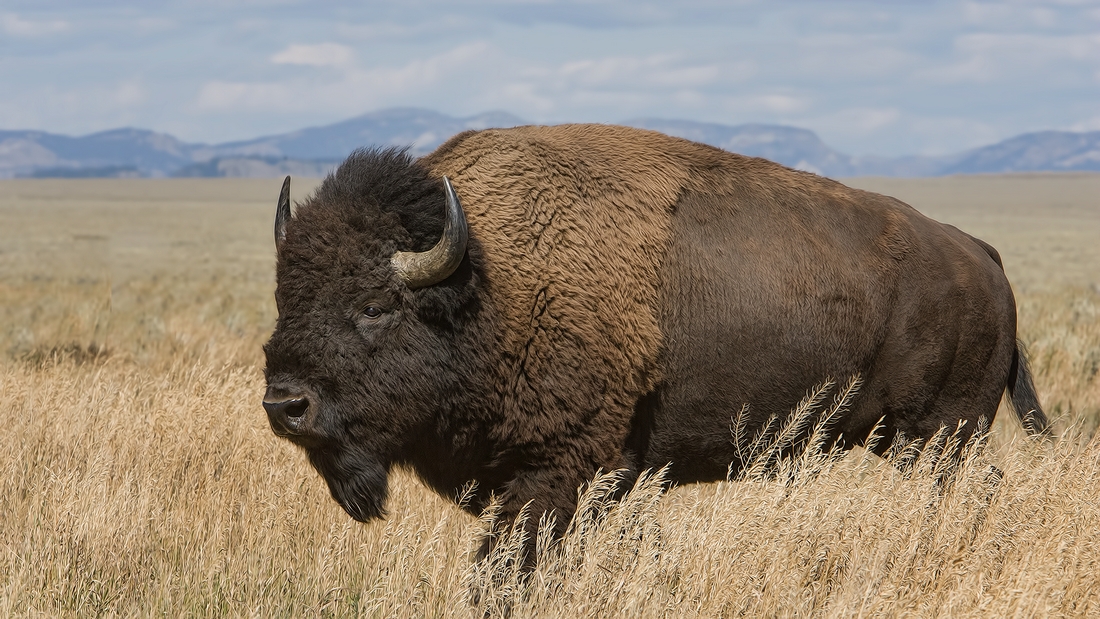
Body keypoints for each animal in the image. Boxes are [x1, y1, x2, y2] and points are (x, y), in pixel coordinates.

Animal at [261, 124, 1042, 547]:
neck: (486, 282)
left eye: (374, 305)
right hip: (916, 438)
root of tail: (981, 256)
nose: (284, 404)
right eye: (284, 295)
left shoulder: (564, 471)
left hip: (940, 432)